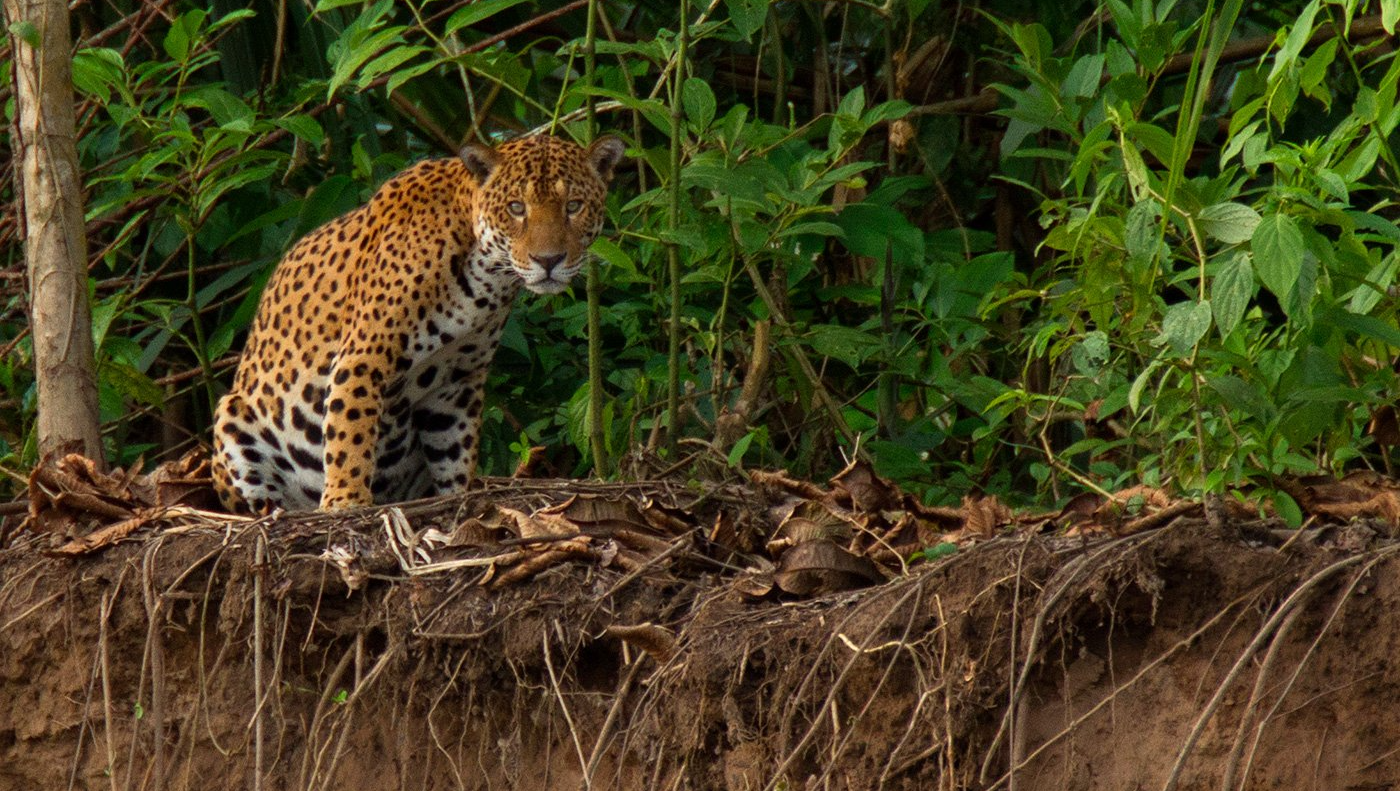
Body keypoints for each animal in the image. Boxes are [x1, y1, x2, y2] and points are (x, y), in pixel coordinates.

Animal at [211, 133, 626, 513]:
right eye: (516, 208)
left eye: (573, 206)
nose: (549, 260)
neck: (484, 279)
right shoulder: (363, 357)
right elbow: (351, 430)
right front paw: (345, 500)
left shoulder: (457, 381)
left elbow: (455, 447)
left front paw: (456, 498)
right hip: (232, 418)